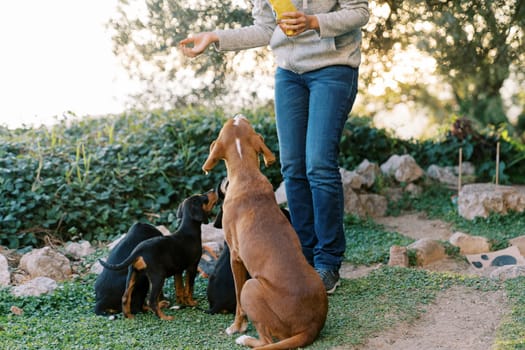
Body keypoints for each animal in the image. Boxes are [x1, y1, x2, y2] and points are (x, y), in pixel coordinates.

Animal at [97, 191, 217, 320]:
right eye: (203, 198)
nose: (213, 190)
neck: (188, 230)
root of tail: (139, 251)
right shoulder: (192, 266)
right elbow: (189, 288)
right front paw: (191, 303)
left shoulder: (178, 270)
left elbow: (179, 288)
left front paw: (182, 302)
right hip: (157, 277)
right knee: (151, 301)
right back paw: (164, 317)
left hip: (133, 275)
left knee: (125, 297)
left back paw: (129, 316)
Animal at [202, 114, 328, 348]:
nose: (238, 115)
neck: (247, 175)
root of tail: (311, 327)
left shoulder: (235, 258)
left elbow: (237, 303)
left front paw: (237, 326)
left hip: (251, 287)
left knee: (267, 341)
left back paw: (245, 338)